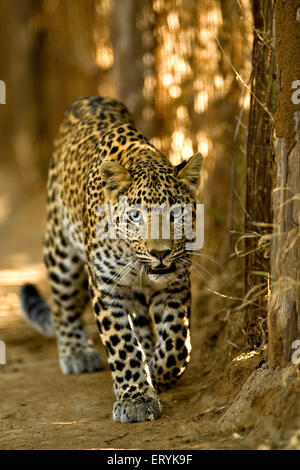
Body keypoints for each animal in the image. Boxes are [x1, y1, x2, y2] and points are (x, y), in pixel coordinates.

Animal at [19, 95, 203, 422]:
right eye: (135, 216)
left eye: (176, 214)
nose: (160, 253)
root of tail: (89, 98)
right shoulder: (106, 287)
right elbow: (122, 345)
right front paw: (136, 398)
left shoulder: (174, 282)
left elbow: (177, 342)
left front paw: (157, 370)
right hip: (60, 251)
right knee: (63, 305)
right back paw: (76, 353)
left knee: (143, 322)